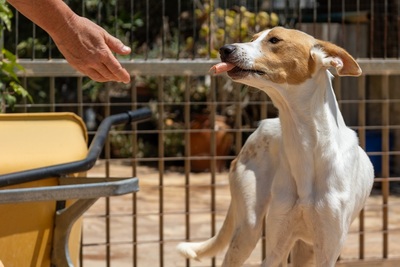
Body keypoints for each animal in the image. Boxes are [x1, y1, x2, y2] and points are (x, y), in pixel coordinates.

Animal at [178, 27, 376, 267]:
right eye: (252, 38)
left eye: (274, 40)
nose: (225, 49)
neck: (306, 147)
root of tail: (262, 126)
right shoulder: (276, 247)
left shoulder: (327, 252)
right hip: (248, 229)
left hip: (305, 249)